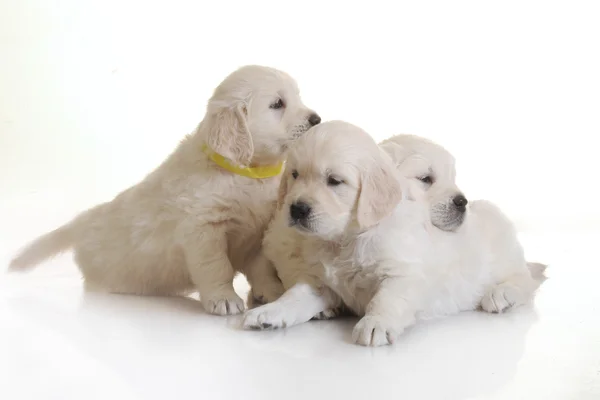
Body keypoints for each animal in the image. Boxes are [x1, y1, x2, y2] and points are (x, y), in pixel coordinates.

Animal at [9, 65, 318, 316]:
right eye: (277, 104)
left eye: (297, 97)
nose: (316, 119)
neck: (246, 173)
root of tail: (84, 220)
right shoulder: (204, 230)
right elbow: (215, 265)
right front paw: (224, 299)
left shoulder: (256, 233)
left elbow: (261, 267)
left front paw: (273, 293)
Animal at [245, 120, 548, 346]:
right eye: (295, 175)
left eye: (334, 181)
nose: (297, 209)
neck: (346, 240)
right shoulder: (319, 281)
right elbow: (294, 296)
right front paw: (267, 313)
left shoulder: (404, 273)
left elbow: (387, 298)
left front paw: (375, 324)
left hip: (504, 257)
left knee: (527, 280)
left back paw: (501, 294)